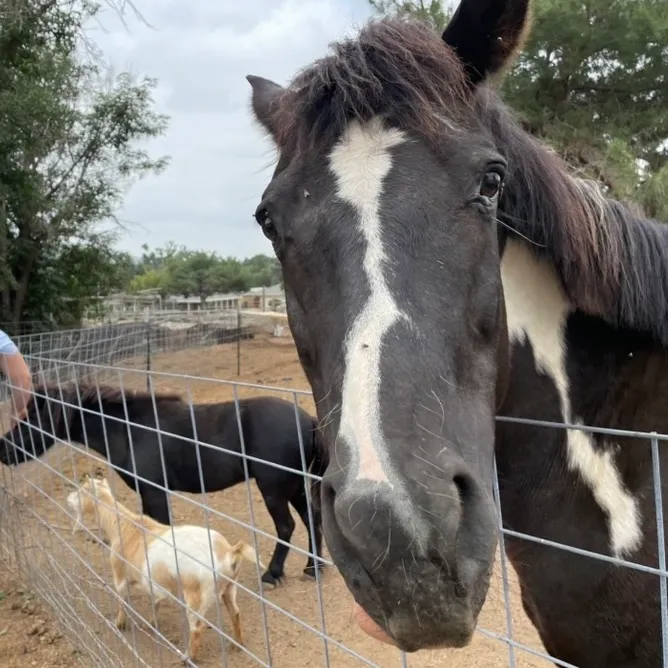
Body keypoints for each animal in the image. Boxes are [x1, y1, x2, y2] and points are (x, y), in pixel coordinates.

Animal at [0, 384, 328, 587]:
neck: (130, 430)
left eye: (32, 418)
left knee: (286, 526)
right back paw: (313, 568)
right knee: (312, 520)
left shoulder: (154, 493)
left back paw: (273, 574)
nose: (4, 448)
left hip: (274, 489)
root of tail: (307, 420)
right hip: (294, 486)